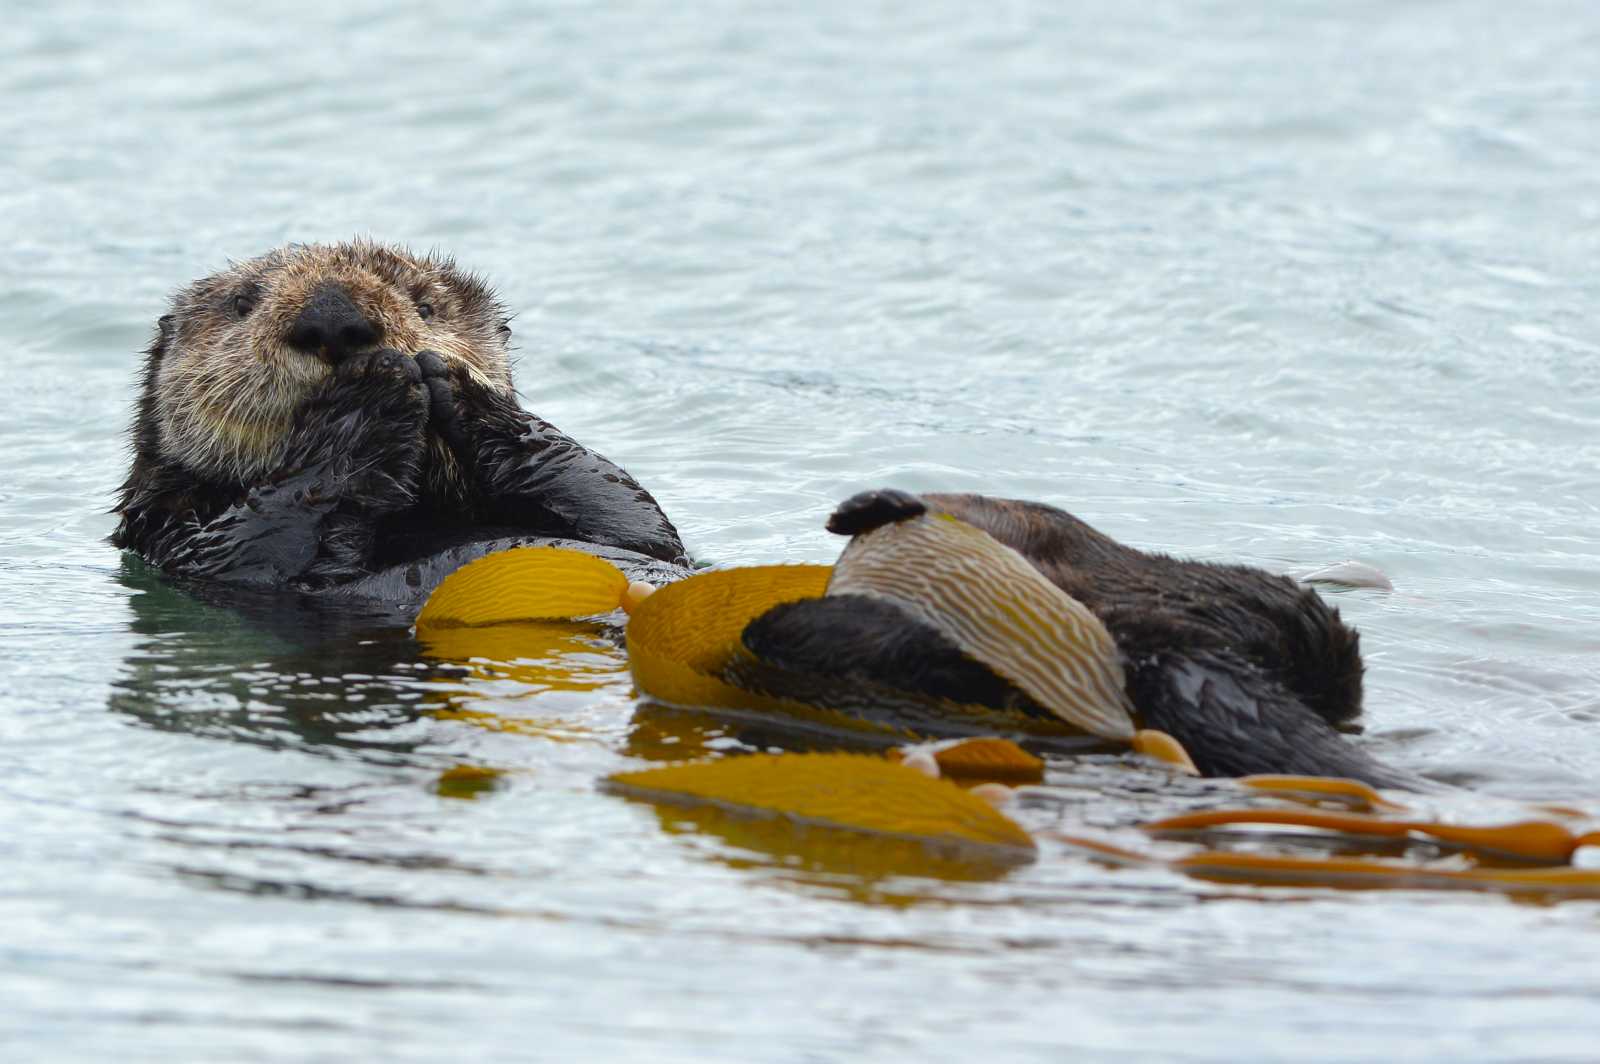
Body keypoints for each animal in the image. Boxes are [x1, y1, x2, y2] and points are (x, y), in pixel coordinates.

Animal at [113, 240, 689, 599]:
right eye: (241, 303)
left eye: (426, 305)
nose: (333, 317)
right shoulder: (174, 536)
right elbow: (260, 540)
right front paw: (368, 397)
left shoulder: (645, 538)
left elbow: (635, 518)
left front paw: (463, 389)